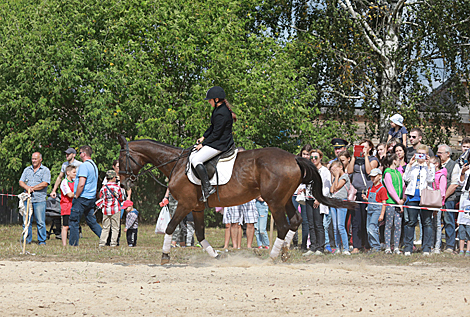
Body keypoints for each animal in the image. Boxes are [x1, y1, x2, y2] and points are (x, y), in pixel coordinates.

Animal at [116, 135, 352, 262]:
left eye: (121, 159)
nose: (124, 184)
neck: (177, 163)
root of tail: (294, 158)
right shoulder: (197, 208)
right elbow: (200, 234)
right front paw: (216, 256)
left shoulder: (184, 204)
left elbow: (170, 227)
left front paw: (165, 256)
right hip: (285, 199)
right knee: (295, 221)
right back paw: (284, 253)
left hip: (274, 202)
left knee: (284, 226)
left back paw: (272, 257)